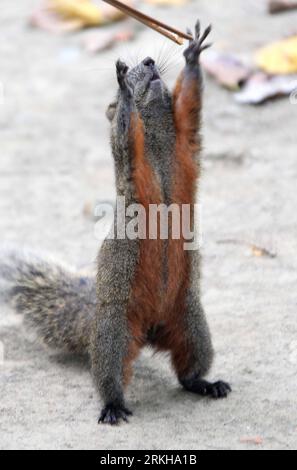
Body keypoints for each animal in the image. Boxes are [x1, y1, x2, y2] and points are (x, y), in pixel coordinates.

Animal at [0, 20, 230, 426]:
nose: (150, 62)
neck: (159, 143)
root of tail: (150, 330)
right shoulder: (131, 159)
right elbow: (125, 129)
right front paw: (123, 88)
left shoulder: (187, 140)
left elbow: (191, 104)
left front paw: (191, 55)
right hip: (114, 334)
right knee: (110, 374)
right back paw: (113, 405)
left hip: (192, 324)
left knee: (187, 370)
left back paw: (205, 384)